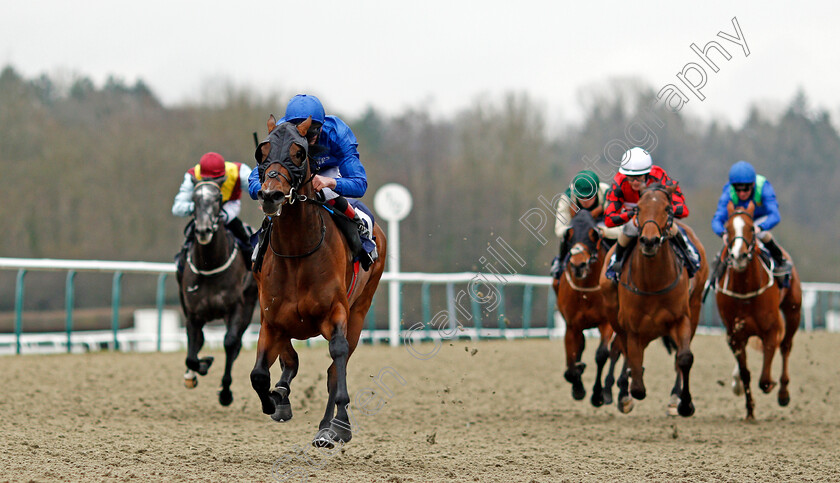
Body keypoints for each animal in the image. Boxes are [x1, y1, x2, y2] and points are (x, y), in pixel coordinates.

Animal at [176, 178, 256, 404]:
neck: (209, 264)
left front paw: (226, 392)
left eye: (218, 197)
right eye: (194, 199)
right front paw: (202, 366)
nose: (203, 230)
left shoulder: (236, 307)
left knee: (236, 342)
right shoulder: (193, 313)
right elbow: (191, 355)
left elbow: (229, 343)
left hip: (250, 303)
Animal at [249, 117, 388, 450]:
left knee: (335, 368)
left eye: (299, 153)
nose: (270, 195)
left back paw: (329, 426)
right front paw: (275, 400)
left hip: (359, 312)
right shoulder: (271, 319)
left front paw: (340, 424)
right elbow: (260, 372)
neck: (297, 251)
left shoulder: (335, 312)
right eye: (262, 152)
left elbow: (337, 359)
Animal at [556, 210, 620, 406]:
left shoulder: (606, 322)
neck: (586, 291)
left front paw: (597, 395)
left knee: (616, 350)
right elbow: (571, 359)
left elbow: (602, 354)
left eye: (594, 235)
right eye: (569, 235)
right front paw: (577, 386)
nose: (578, 265)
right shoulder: (572, 325)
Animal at [596, 183, 708, 418]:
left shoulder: (681, 319)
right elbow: (635, 372)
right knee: (623, 350)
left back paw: (673, 399)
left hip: (694, 308)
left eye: (667, 208)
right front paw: (627, 392)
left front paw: (685, 403)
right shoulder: (633, 327)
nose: (649, 241)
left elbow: (684, 358)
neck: (653, 283)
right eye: (638, 208)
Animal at [712, 204, 804, 420]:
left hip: (793, 311)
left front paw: (772, 386)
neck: (746, 288)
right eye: (727, 228)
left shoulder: (770, 330)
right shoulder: (735, 335)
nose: (739, 257)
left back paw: (783, 393)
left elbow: (764, 379)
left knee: (786, 346)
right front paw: (750, 411)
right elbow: (746, 373)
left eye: (751, 229)